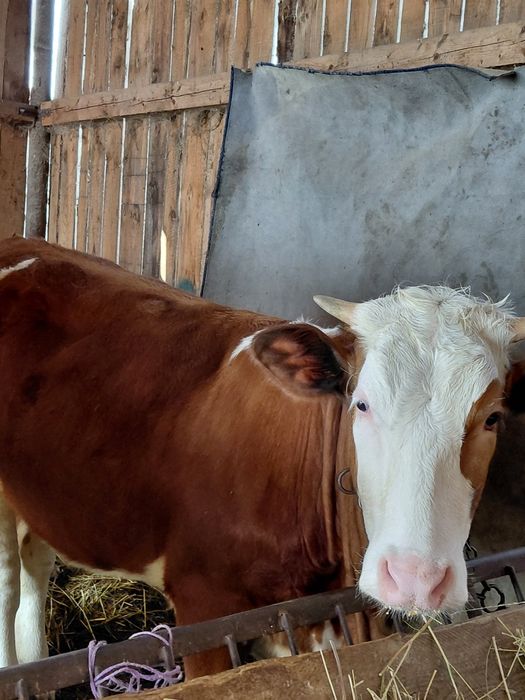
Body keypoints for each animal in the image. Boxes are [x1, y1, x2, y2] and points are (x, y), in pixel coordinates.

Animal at [0, 236, 523, 677]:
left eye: (493, 417)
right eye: (361, 403)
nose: (416, 580)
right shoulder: (204, 609)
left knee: (37, 562)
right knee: (8, 586)